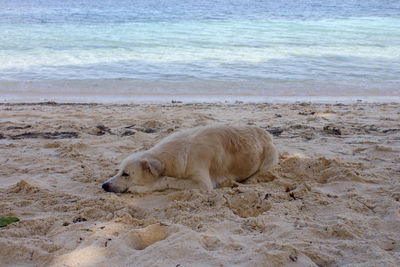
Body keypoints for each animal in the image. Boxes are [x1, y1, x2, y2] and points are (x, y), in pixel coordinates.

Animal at [101, 124, 280, 194]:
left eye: (126, 174)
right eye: (118, 171)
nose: (104, 185)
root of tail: (267, 134)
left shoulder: (203, 184)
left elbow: (167, 180)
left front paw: (140, 188)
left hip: (270, 158)